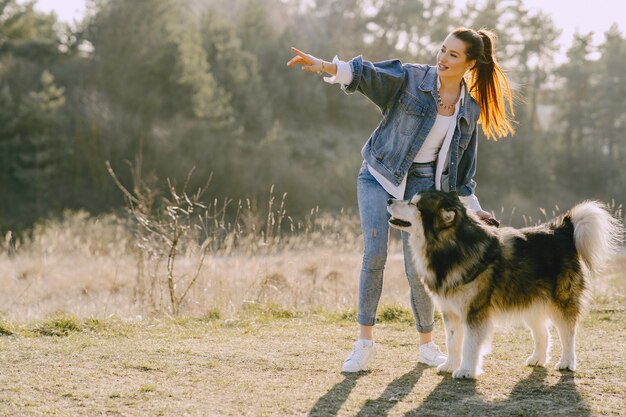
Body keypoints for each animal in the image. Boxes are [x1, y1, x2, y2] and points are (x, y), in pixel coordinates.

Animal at [386, 190, 620, 378]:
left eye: (413, 204)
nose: (389, 199)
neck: (450, 248)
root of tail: (561, 229)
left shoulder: (475, 311)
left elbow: (470, 344)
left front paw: (466, 370)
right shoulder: (450, 311)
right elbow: (452, 342)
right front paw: (451, 364)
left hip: (561, 300)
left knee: (568, 332)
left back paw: (567, 361)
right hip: (530, 301)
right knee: (543, 333)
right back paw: (538, 358)